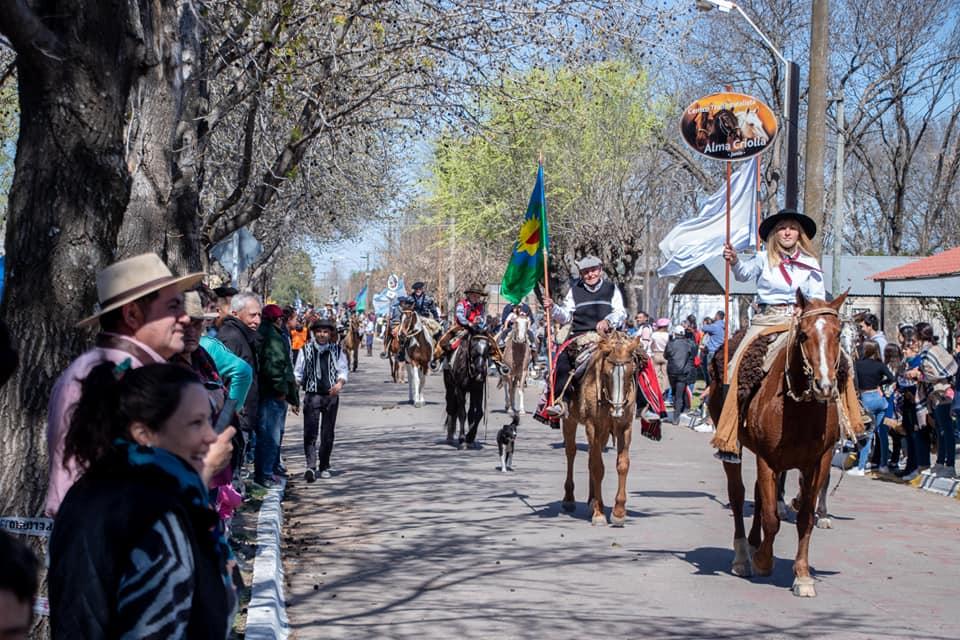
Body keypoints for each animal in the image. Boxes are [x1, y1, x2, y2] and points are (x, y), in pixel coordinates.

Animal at [564, 332, 644, 528]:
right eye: (607, 374)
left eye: (630, 372)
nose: (617, 411)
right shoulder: (593, 426)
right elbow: (597, 467)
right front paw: (599, 513)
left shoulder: (624, 427)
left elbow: (622, 465)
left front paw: (619, 512)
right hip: (570, 420)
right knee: (571, 452)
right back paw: (569, 498)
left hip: (604, 433)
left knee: (592, 455)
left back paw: (592, 499)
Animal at [704, 292, 848, 596]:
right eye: (804, 334)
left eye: (838, 334)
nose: (825, 386)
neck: (799, 408)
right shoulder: (768, 459)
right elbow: (772, 517)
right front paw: (763, 560)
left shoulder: (819, 461)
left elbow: (804, 517)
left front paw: (802, 575)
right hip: (735, 450)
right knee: (738, 495)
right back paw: (742, 556)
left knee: (759, 495)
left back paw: (753, 542)